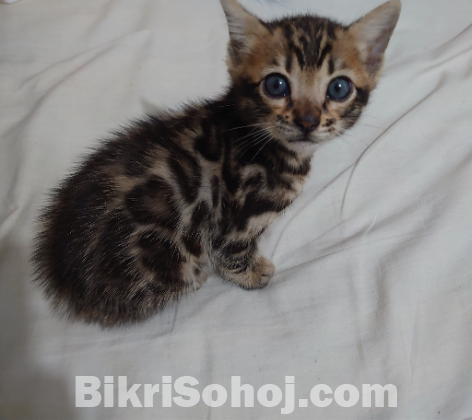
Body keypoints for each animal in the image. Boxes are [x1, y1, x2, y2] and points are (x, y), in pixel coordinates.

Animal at [33, 0, 402, 326]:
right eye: (276, 84)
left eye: (339, 88)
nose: (308, 121)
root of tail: (61, 277)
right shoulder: (237, 217)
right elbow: (231, 250)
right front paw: (251, 273)